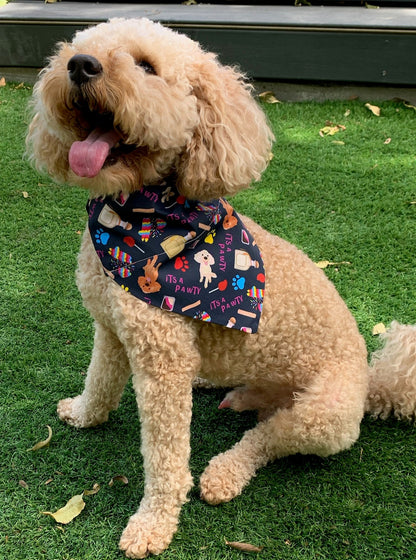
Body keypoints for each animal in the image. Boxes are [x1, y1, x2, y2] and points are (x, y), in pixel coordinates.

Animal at [26, 17, 416, 556]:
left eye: (146, 66)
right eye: (77, 48)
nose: (81, 65)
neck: (140, 220)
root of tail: (373, 380)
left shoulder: (162, 362)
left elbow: (166, 459)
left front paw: (152, 524)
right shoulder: (110, 329)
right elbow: (99, 380)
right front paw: (85, 414)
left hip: (326, 417)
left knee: (269, 437)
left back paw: (224, 473)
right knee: (258, 405)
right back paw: (231, 392)